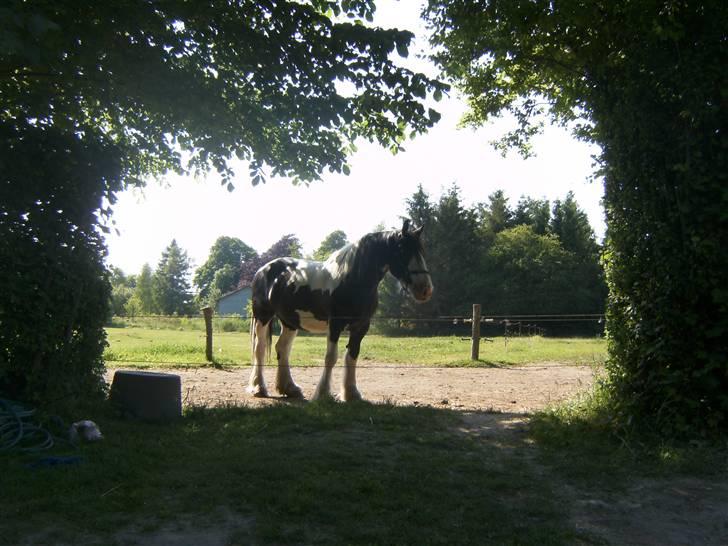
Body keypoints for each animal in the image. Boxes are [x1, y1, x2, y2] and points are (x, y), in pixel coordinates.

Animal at [250, 217, 432, 400]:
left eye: (422, 251)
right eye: (402, 250)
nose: (425, 289)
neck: (352, 280)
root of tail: (263, 270)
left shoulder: (361, 326)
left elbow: (352, 356)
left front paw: (351, 393)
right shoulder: (335, 325)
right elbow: (331, 358)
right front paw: (323, 393)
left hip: (290, 321)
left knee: (282, 349)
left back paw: (289, 388)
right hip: (263, 316)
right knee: (259, 349)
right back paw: (258, 387)